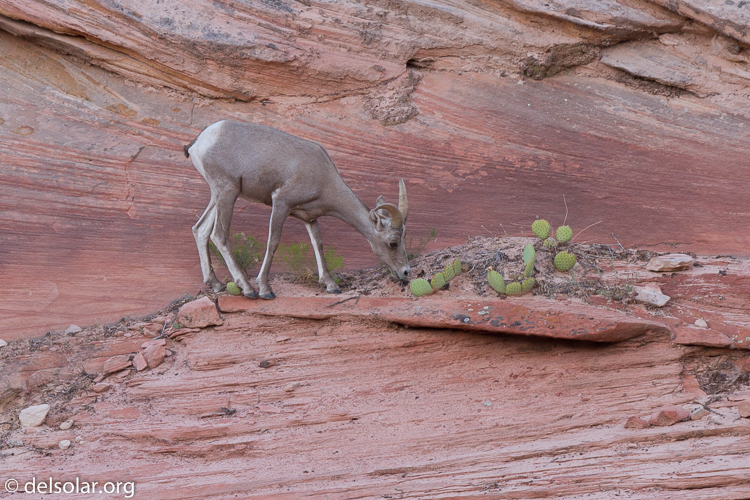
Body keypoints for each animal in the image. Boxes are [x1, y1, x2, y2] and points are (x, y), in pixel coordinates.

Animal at [187, 120, 412, 300]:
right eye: (392, 243)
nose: (406, 273)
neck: (323, 178)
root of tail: (200, 141)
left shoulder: (309, 218)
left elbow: (318, 244)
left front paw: (331, 285)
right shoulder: (281, 203)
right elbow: (273, 243)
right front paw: (265, 289)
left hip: (218, 195)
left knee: (201, 230)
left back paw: (216, 284)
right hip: (228, 191)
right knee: (219, 235)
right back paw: (248, 289)